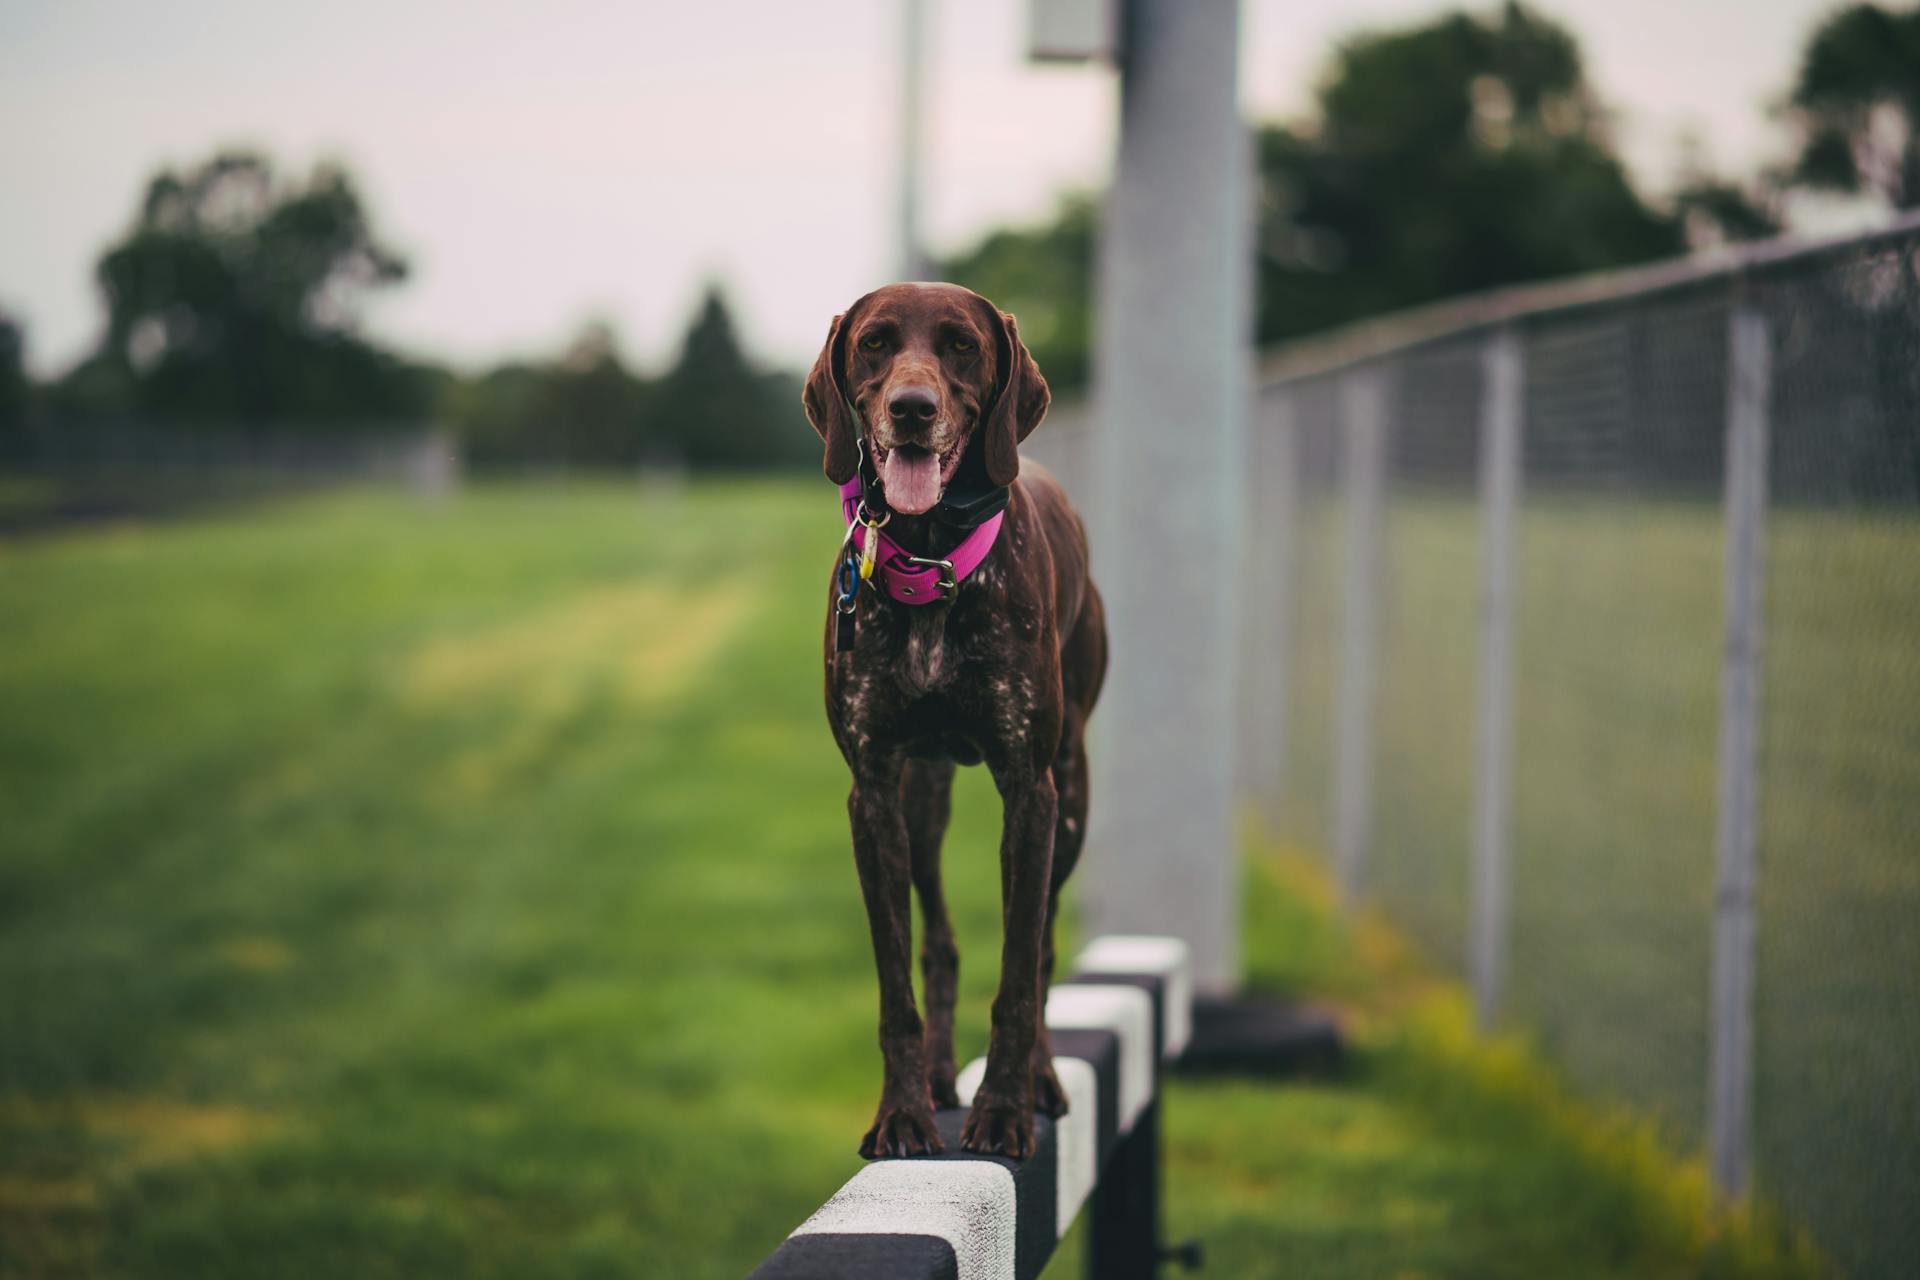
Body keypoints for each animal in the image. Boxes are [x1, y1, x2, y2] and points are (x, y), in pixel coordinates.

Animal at [802, 282, 1113, 1159]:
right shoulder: (873, 794)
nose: (912, 409)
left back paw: (1039, 1077)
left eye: (962, 346)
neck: (929, 555)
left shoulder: (1031, 792)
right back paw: (942, 1076)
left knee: (1041, 947)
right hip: (924, 800)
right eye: (875, 342)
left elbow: (1019, 973)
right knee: (938, 941)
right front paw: (903, 1111)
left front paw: (1005, 1108)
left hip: (1071, 798)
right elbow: (896, 984)